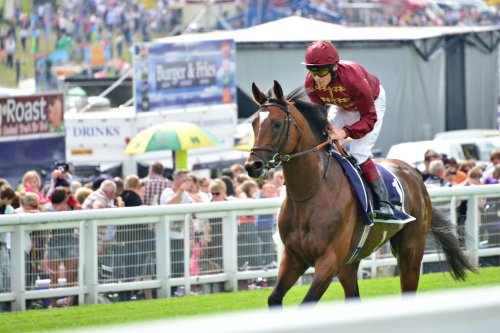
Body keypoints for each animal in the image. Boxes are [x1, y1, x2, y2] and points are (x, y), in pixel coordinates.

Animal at [246, 80, 476, 306]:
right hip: (349, 264)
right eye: (254, 123)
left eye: (277, 123)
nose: (253, 166)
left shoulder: (329, 260)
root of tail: (415, 174)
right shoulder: (294, 258)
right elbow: (274, 298)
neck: (310, 193)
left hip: (410, 250)